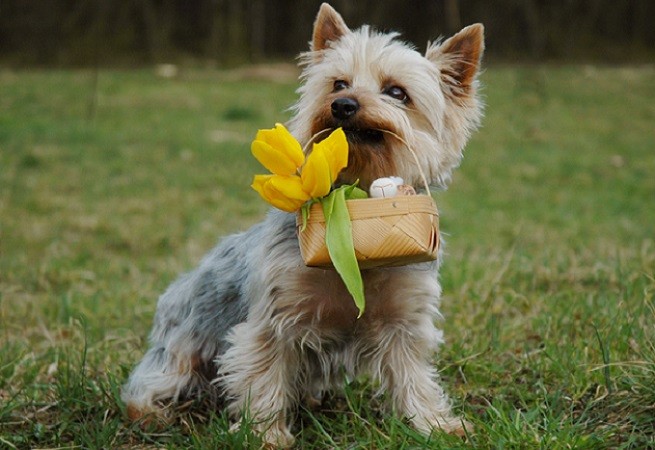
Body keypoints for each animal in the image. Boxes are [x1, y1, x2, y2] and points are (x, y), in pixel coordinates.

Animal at [123, 3, 484, 446]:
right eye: (338, 83)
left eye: (397, 92)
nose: (343, 104)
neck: (354, 206)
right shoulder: (273, 319)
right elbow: (265, 374)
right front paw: (265, 434)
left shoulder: (404, 319)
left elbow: (413, 376)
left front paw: (435, 425)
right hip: (182, 346)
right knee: (151, 382)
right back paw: (151, 415)